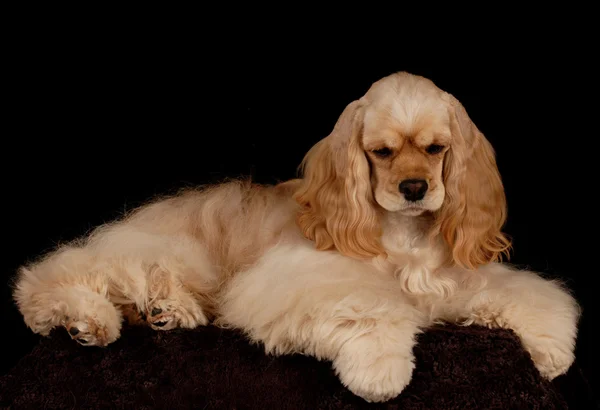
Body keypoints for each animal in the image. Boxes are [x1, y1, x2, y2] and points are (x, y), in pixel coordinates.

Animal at [11, 71, 580, 404]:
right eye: (381, 152)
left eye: (437, 148)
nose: (415, 189)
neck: (403, 234)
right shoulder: (301, 279)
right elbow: (370, 309)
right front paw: (380, 371)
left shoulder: (456, 281)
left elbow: (525, 296)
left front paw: (551, 350)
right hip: (169, 252)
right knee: (47, 282)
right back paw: (88, 322)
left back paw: (168, 313)